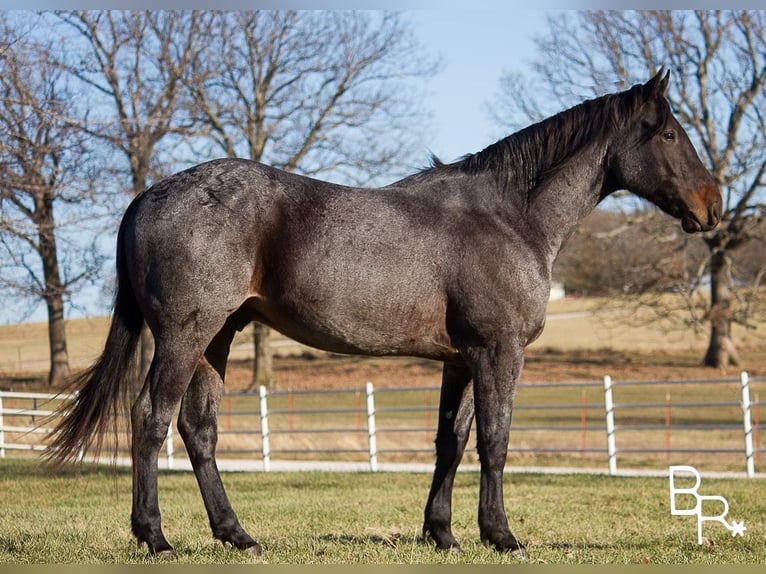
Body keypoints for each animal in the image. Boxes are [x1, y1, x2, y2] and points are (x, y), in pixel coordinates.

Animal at [51, 71, 724, 560]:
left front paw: (443, 534)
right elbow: (496, 439)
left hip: (217, 338)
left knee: (199, 429)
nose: (712, 205)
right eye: (669, 135)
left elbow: (451, 440)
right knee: (150, 418)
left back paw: (237, 536)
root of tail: (148, 194)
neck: (508, 217)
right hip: (183, 336)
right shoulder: (499, 353)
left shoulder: (461, 359)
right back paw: (156, 537)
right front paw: (501, 535)